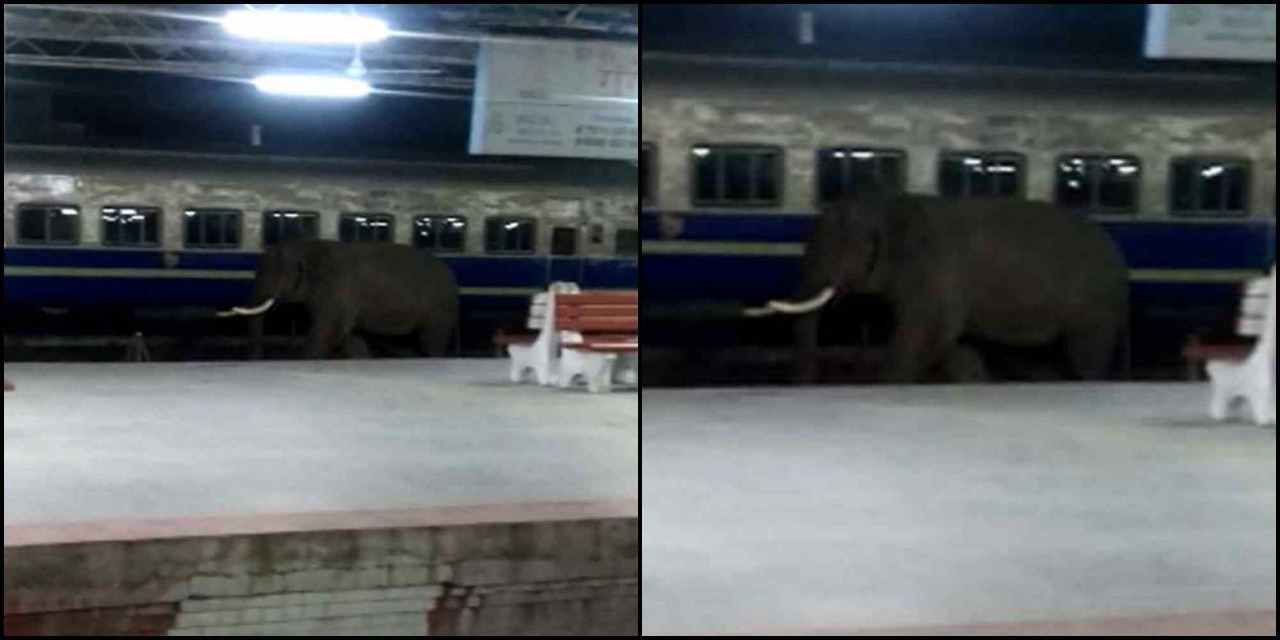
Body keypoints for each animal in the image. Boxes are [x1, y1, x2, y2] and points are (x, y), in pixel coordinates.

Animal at [220, 240, 460, 360]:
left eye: (273, 274)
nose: (258, 358)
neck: (305, 246)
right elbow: (350, 336)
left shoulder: (336, 287)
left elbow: (329, 331)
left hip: (439, 308)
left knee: (431, 342)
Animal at [747, 193, 1131, 384]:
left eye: (839, 250)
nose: (806, 384)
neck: (884, 203)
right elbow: (950, 342)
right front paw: (971, 378)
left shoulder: (935, 269)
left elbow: (928, 331)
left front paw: (889, 381)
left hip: (1095, 304)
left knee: (1085, 355)